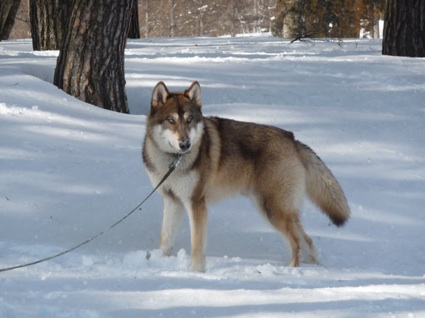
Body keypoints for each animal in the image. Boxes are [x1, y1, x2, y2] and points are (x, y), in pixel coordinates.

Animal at [142, 80, 348, 272]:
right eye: (171, 120)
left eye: (189, 119)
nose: (185, 144)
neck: (173, 161)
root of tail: (293, 139)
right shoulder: (172, 201)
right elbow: (165, 240)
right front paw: (159, 263)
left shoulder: (196, 204)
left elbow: (197, 247)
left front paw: (197, 273)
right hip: (276, 209)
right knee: (307, 240)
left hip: (271, 210)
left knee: (296, 241)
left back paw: (291, 270)